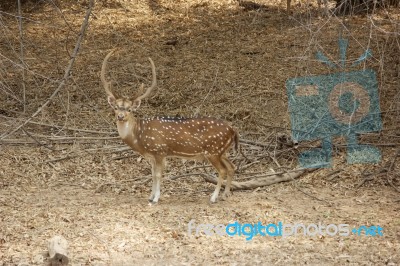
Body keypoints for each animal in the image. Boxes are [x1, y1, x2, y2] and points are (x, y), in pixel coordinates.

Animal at [101, 50, 239, 204]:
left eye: (130, 109)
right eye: (115, 107)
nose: (120, 116)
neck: (139, 137)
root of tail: (233, 130)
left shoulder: (160, 150)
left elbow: (158, 174)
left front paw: (156, 198)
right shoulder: (152, 155)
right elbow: (152, 174)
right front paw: (150, 196)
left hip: (213, 151)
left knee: (222, 170)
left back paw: (214, 197)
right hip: (223, 152)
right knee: (232, 167)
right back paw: (225, 194)